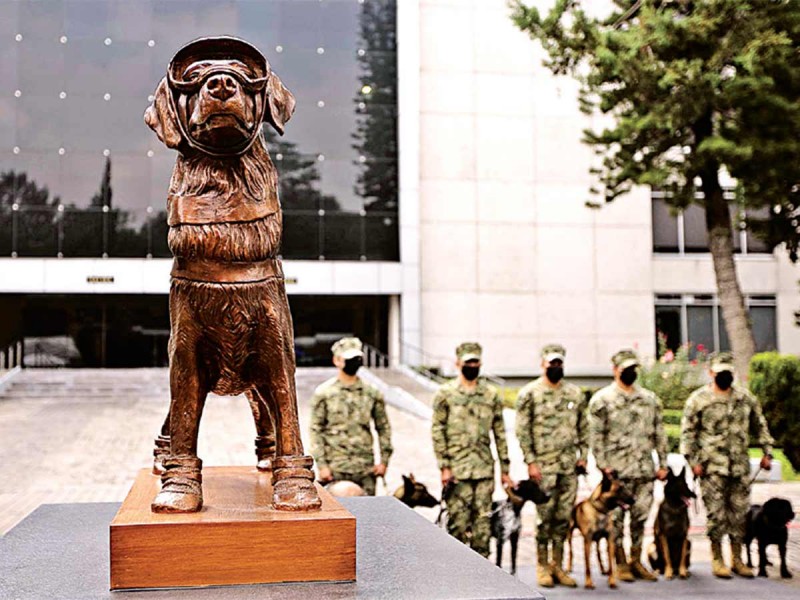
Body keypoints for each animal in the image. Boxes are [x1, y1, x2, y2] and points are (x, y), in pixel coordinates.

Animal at [145, 37, 320, 512]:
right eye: (195, 74)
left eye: (243, 73)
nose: (221, 83)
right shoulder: (185, 350)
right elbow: (184, 421)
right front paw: (178, 490)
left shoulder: (275, 345)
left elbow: (290, 417)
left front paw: (296, 488)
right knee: (174, 417)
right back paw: (161, 460)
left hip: (255, 372)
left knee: (266, 411)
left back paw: (267, 459)